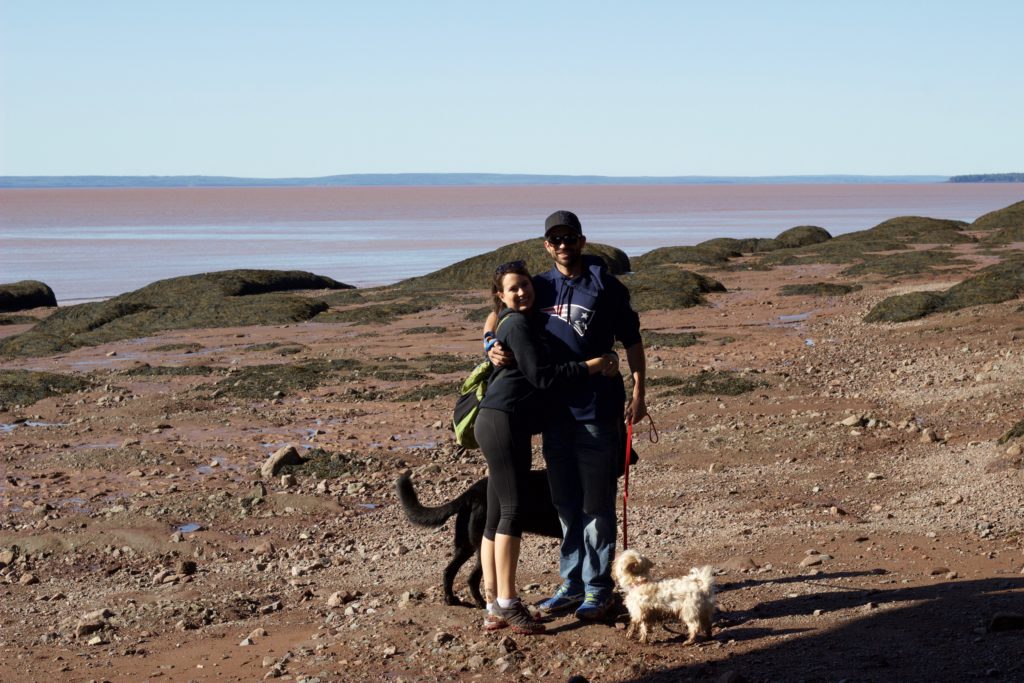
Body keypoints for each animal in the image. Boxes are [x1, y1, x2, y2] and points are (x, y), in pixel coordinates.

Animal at [397, 471, 561, 610]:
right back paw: (482, 603)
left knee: (449, 571)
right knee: (472, 578)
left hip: (466, 546)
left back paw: (451, 599)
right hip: (485, 545)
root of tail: (472, 492)